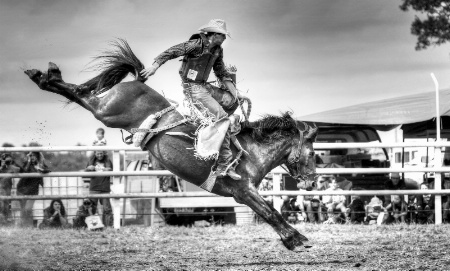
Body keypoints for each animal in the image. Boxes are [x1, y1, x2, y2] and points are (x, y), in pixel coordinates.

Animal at [24, 39, 318, 251]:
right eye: (313, 152)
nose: (313, 181)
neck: (251, 151)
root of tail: (136, 83)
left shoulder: (244, 193)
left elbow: (269, 212)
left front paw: (294, 239)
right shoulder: (243, 191)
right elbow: (270, 211)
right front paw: (297, 240)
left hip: (106, 110)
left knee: (81, 93)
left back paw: (42, 74)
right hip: (106, 111)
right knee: (80, 94)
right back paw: (46, 76)